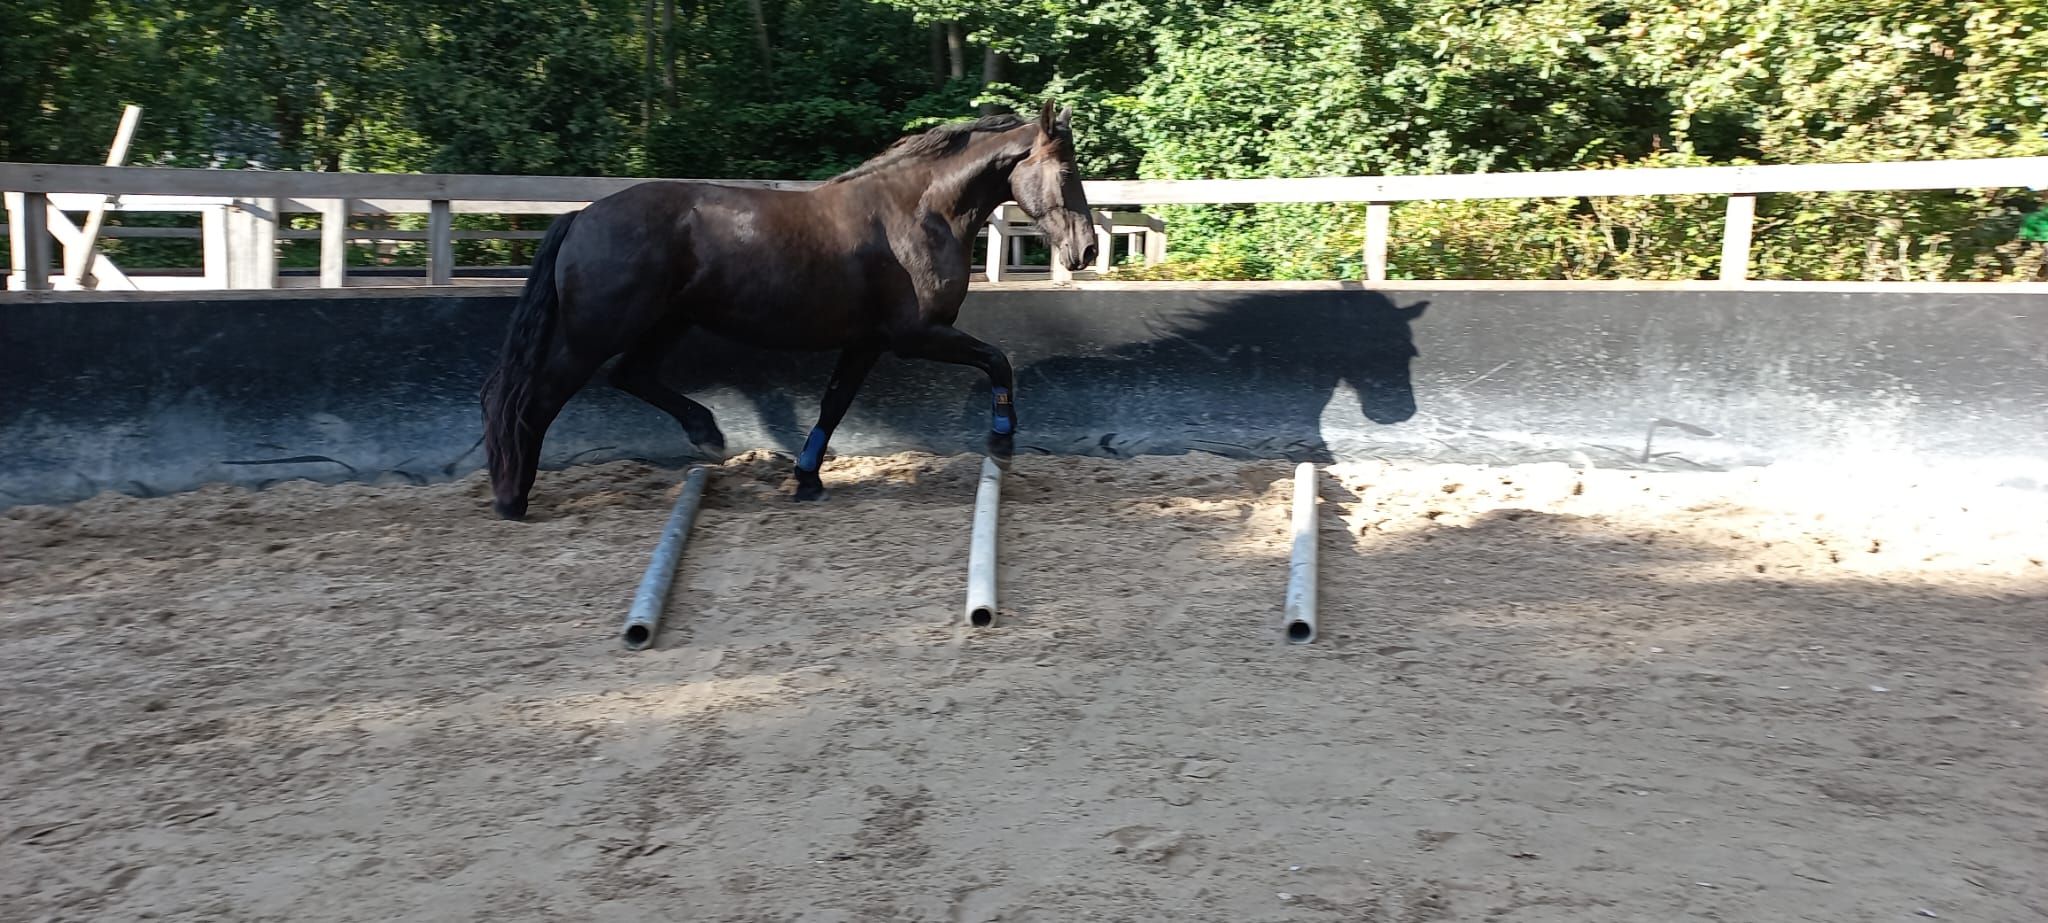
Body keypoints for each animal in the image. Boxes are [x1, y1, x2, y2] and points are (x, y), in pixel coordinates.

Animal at [479, 101, 1097, 520]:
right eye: (1068, 173)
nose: (1087, 250)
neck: (919, 212)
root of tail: (581, 217)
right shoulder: (916, 334)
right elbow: (997, 361)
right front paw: (1002, 441)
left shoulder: (867, 341)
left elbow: (834, 404)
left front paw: (806, 479)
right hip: (595, 333)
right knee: (534, 400)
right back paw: (512, 497)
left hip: (667, 321)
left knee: (628, 376)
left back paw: (707, 433)